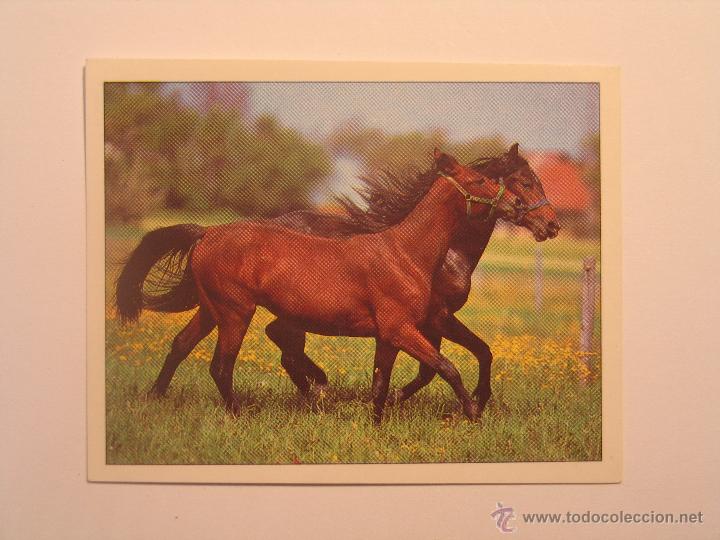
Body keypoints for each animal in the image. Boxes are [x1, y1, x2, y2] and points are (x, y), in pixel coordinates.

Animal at [116, 150, 533, 423]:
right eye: (480, 180)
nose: (516, 206)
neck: (405, 253)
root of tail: (208, 232)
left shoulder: (389, 335)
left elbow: (381, 384)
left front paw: (376, 423)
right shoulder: (404, 329)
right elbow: (447, 368)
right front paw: (474, 412)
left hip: (210, 310)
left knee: (180, 345)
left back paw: (155, 397)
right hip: (236, 313)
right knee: (221, 366)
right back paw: (243, 411)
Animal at [263, 143, 558, 417]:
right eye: (526, 182)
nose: (552, 225)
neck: (447, 253)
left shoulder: (427, 322)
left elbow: (473, 354)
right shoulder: (437, 318)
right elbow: (447, 363)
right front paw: (474, 401)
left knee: (279, 340)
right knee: (285, 347)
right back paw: (320, 389)